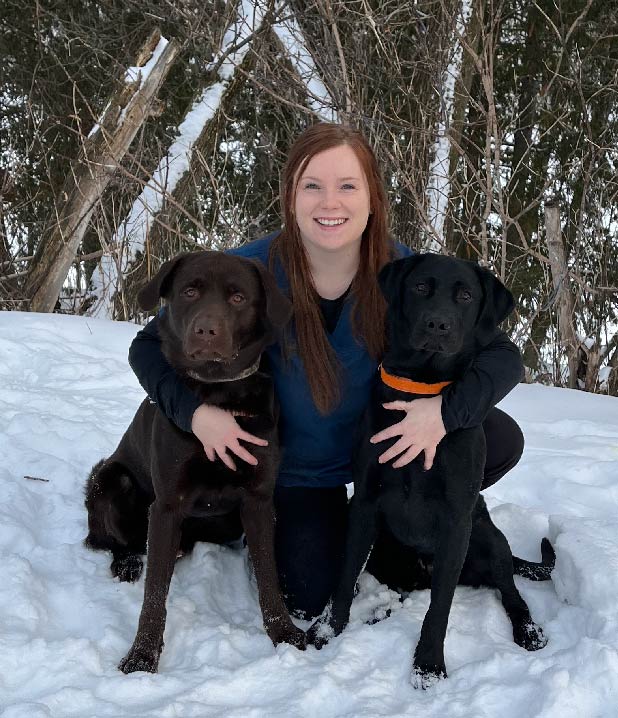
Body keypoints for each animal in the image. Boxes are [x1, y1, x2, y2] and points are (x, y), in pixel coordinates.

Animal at [84, 252, 306, 676]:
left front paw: (284, 633)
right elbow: (154, 595)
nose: (206, 330)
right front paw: (142, 655)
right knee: (113, 541)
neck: (218, 393)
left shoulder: (258, 500)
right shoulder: (167, 505)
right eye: (189, 291)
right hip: (109, 478)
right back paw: (127, 564)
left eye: (238, 297)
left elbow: (269, 577)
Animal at [308, 256, 552, 688]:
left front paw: (428, 665)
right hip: (387, 551)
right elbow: (345, 574)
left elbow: (440, 608)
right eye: (421, 287)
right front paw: (327, 629)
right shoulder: (365, 503)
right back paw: (377, 612)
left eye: (466, 296)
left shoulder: (456, 520)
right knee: (393, 589)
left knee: (511, 592)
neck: (418, 390)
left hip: (489, 539)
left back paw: (528, 630)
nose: (438, 324)